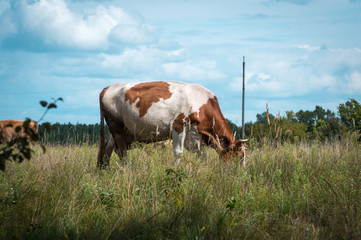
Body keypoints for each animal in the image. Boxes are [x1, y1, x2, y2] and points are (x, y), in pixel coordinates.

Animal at [97, 80, 246, 167]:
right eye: (239, 156)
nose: (240, 176)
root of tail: (108, 87)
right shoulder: (179, 125)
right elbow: (178, 153)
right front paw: (175, 170)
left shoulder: (197, 134)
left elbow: (202, 155)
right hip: (116, 126)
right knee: (121, 151)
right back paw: (127, 170)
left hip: (119, 129)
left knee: (108, 149)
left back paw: (105, 171)